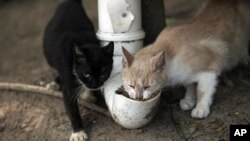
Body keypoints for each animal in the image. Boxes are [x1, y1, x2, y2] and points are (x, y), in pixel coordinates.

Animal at [43, 0, 113, 140]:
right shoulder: (68, 85)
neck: (84, 42)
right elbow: (72, 110)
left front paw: (90, 94)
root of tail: (68, 2)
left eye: (103, 73)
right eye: (86, 74)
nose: (95, 85)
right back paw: (53, 83)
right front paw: (78, 133)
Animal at [121, 0, 250, 118]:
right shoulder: (186, 75)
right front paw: (189, 100)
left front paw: (201, 108)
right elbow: (189, 85)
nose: (138, 97)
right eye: (131, 85)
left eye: (147, 86)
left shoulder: (210, 69)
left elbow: (202, 90)